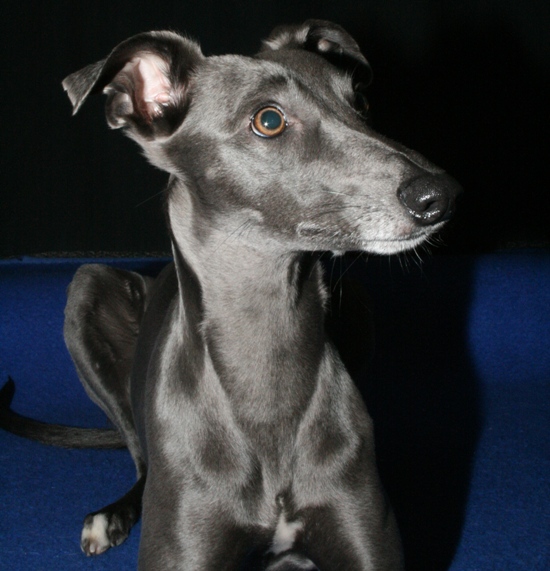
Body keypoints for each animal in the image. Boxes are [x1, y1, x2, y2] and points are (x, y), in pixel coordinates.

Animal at [0, 20, 461, 570]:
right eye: (269, 119)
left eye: (361, 103)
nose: (440, 196)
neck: (267, 349)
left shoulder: (364, 535)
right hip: (87, 288)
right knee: (139, 458)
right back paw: (114, 512)